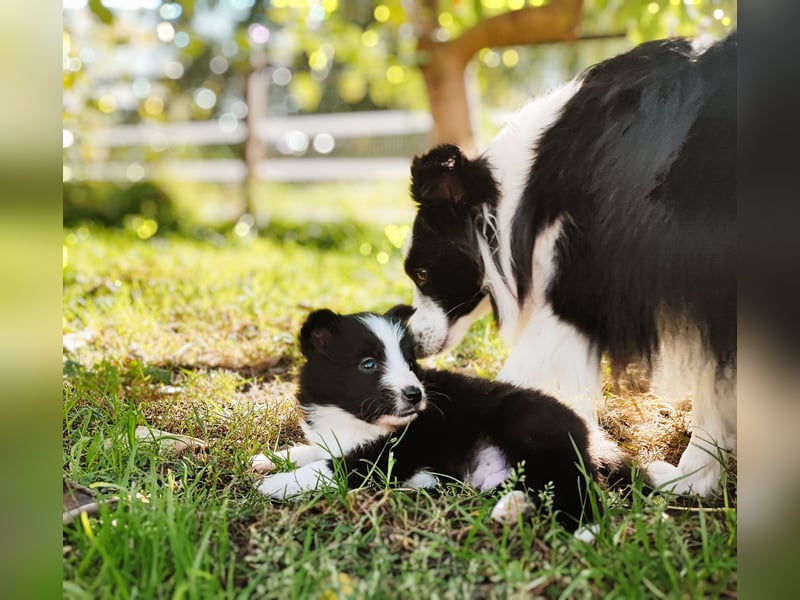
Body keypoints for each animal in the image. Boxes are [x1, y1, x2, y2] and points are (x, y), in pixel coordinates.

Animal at [255, 310, 620, 524]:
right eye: (368, 364)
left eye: (409, 363)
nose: (415, 395)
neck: (354, 418)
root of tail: (592, 437)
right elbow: (315, 451)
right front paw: (269, 459)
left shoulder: (391, 455)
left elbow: (333, 467)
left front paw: (276, 483)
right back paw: (510, 508)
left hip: (530, 427)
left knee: (581, 487)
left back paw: (588, 530)